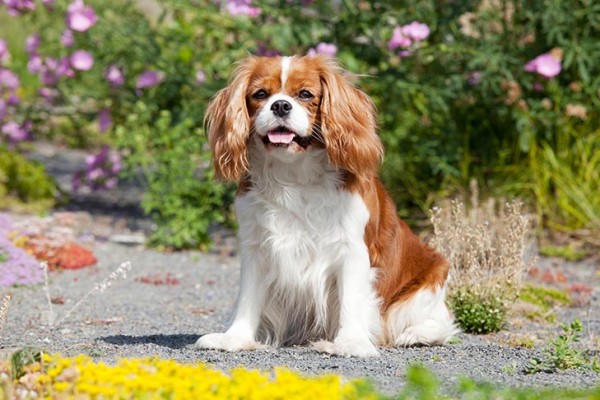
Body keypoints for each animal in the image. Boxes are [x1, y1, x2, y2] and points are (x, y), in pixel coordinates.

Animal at [195, 54, 458, 356]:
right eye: (260, 94)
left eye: (305, 94)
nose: (281, 105)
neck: (295, 175)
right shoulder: (256, 247)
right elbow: (248, 299)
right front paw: (235, 338)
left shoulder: (352, 250)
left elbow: (350, 300)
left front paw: (351, 342)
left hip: (429, 281)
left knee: (442, 324)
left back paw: (416, 334)